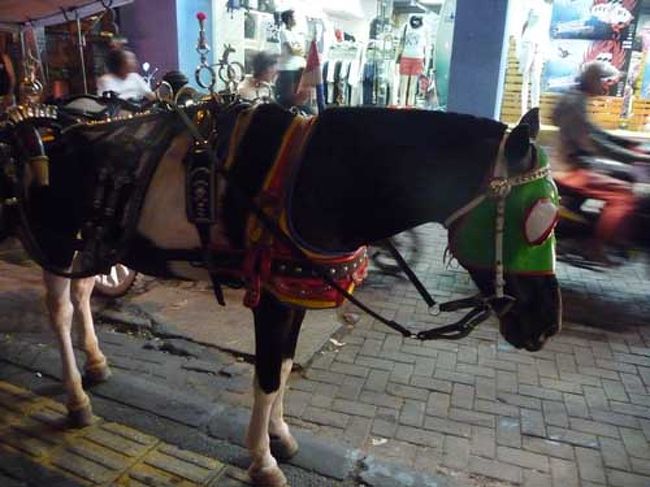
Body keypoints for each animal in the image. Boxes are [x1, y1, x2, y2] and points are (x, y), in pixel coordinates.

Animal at [0, 102, 562, 487]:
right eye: (538, 221)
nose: (546, 324)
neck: (319, 178)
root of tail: (54, 132)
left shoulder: (295, 295)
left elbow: (287, 367)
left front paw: (282, 437)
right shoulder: (270, 298)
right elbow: (268, 376)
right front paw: (263, 460)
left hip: (92, 242)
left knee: (81, 296)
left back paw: (96, 364)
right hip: (55, 240)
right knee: (58, 311)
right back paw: (76, 397)